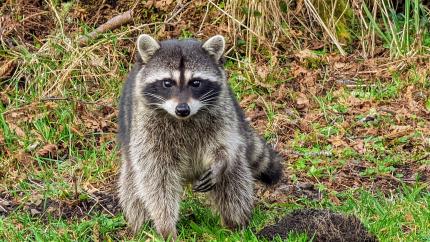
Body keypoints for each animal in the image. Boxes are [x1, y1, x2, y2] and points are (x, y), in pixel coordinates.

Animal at [117, 34, 284, 240]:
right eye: (167, 83)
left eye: (196, 83)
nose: (182, 109)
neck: (184, 119)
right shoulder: (146, 128)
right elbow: (156, 178)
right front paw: (166, 226)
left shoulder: (222, 110)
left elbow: (224, 145)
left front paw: (220, 162)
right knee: (132, 186)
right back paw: (142, 226)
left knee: (234, 180)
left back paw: (235, 223)